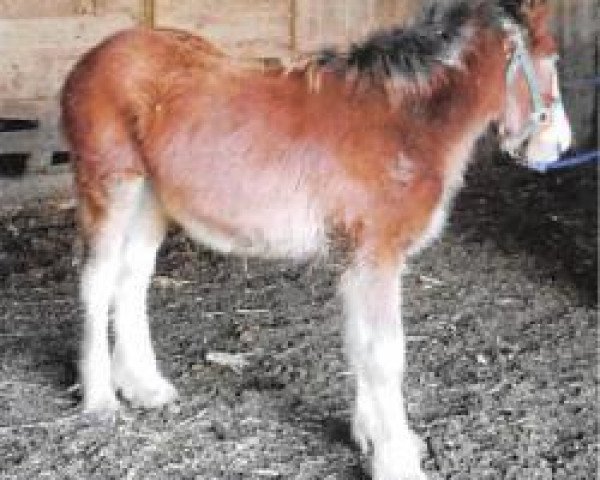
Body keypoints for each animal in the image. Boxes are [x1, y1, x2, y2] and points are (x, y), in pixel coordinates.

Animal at [62, 1, 572, 478]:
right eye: (552, 58)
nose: (560, 145)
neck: (405, 122)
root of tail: (91, 57)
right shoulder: (376, 255)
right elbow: (385, 352)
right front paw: (396, 458)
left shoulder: (355, 259)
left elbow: (358, 341)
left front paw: (369, 436)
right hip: (111, 187)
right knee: (97, 282)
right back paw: (101, 398)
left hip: (150, 199)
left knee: (131, 281)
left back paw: (143, 386)